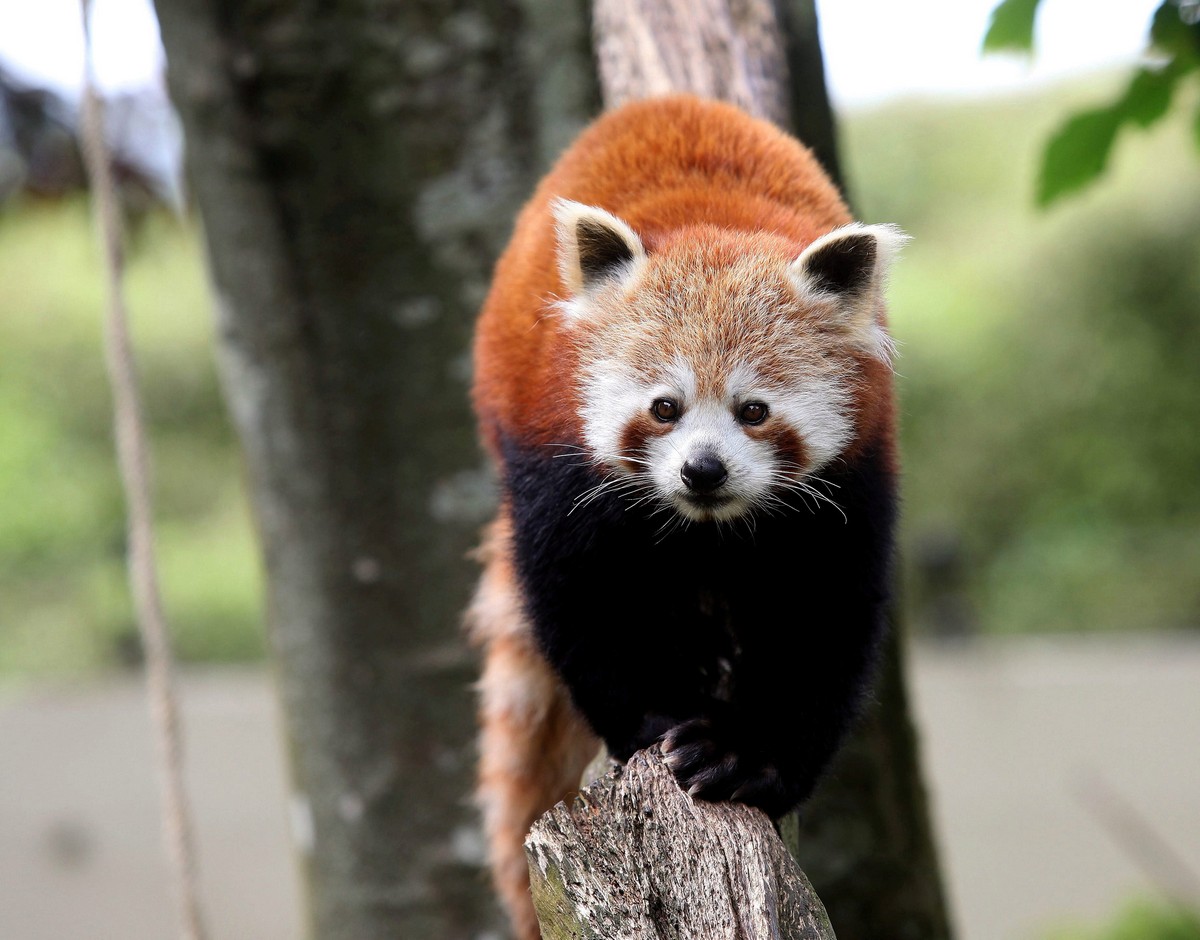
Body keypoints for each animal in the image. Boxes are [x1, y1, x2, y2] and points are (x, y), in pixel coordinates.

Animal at [465, 95, 902, 940]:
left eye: (754, 411)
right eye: (664, 408)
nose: (704, 470)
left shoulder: (853, 477)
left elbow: (823, 622)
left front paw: (747, 757)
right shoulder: (560, 455)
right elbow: (583, 602)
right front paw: (656, 721)